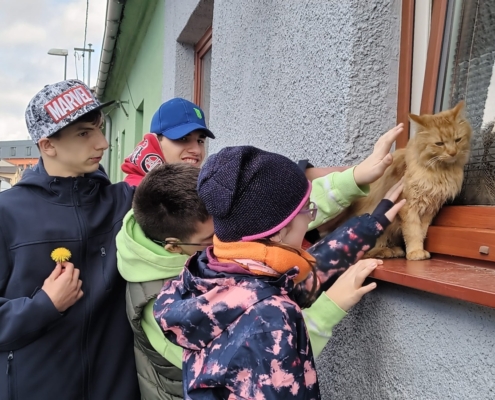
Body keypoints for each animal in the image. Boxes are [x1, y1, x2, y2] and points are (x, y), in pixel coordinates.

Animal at [322, 101, 472, 260]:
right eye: (439, 143)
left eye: (458, 140)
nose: (453, 153)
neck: (439, 172)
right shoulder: (408, 206)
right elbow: (413, 231)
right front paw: (415, 252)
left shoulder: (429, 210)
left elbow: (422, 231)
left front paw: (418, 250)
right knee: (363, 254)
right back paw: (387, 251)